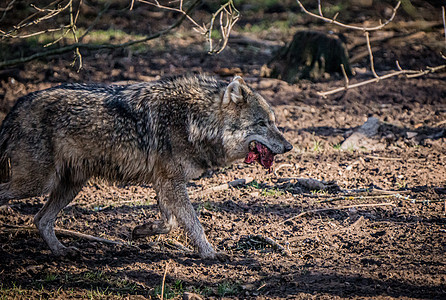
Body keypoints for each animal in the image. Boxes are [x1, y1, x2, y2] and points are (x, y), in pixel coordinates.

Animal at [0, 75, 292, 260]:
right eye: (262, 124)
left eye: (273, 122)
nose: (289, 146)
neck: (195, 121)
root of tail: (16, 106)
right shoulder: (171, 182)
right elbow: (193, 223)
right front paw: (210, 253)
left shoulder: (164, 182)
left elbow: (171, 222)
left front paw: (141, 231)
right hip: (39, 183)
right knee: (20, 204)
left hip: (69, 186)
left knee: (41, 219)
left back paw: (61, 251)